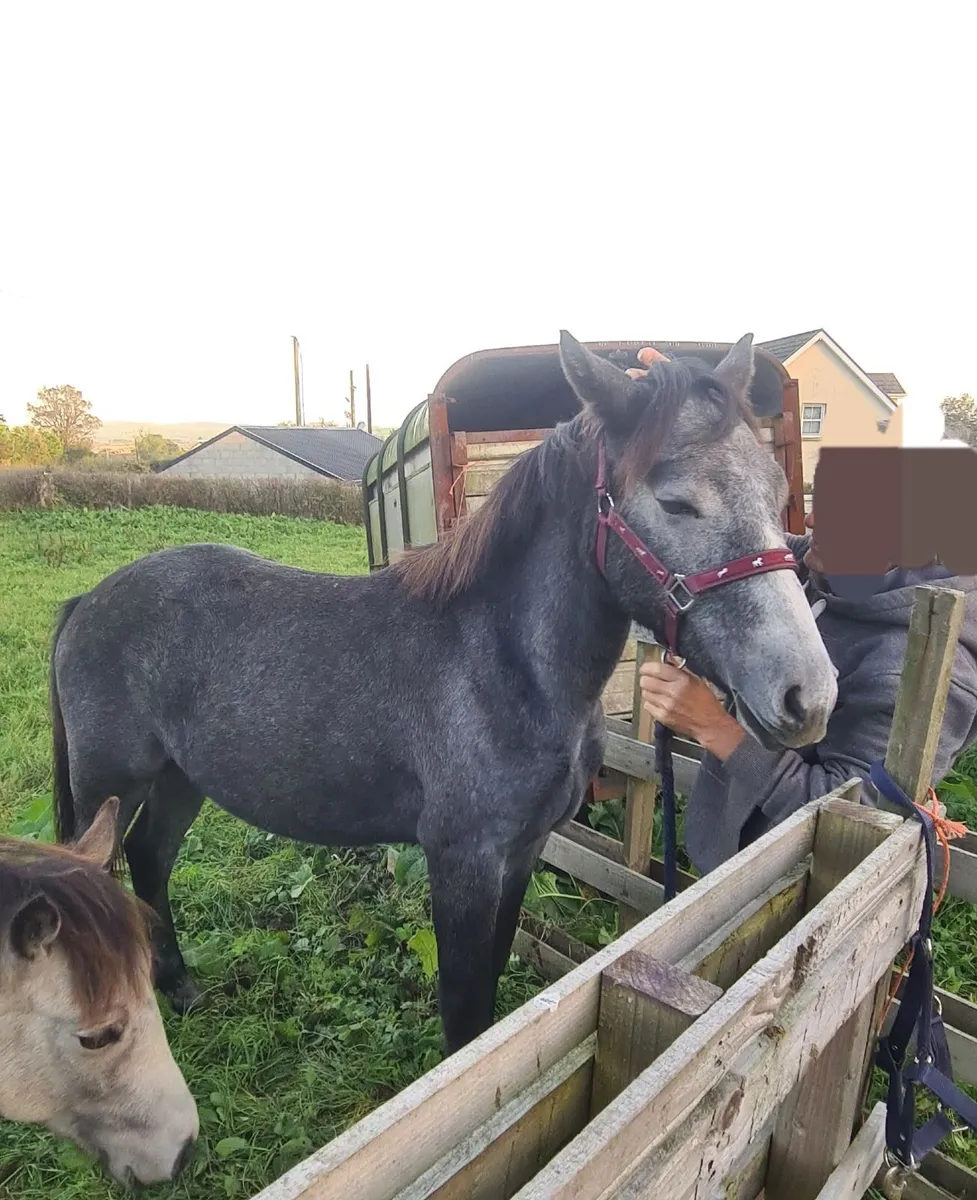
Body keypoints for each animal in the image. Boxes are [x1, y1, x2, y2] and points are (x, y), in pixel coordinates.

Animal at [47, 332, 838, 1055]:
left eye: (775, 491)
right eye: (676, 502)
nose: (809, 695)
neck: (503, 663)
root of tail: (88, 601)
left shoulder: (520, 853)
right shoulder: (461, 863)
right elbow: (463, 1009)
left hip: (181, 778)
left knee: (151, 857)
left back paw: (178, 986)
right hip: (110, 785)